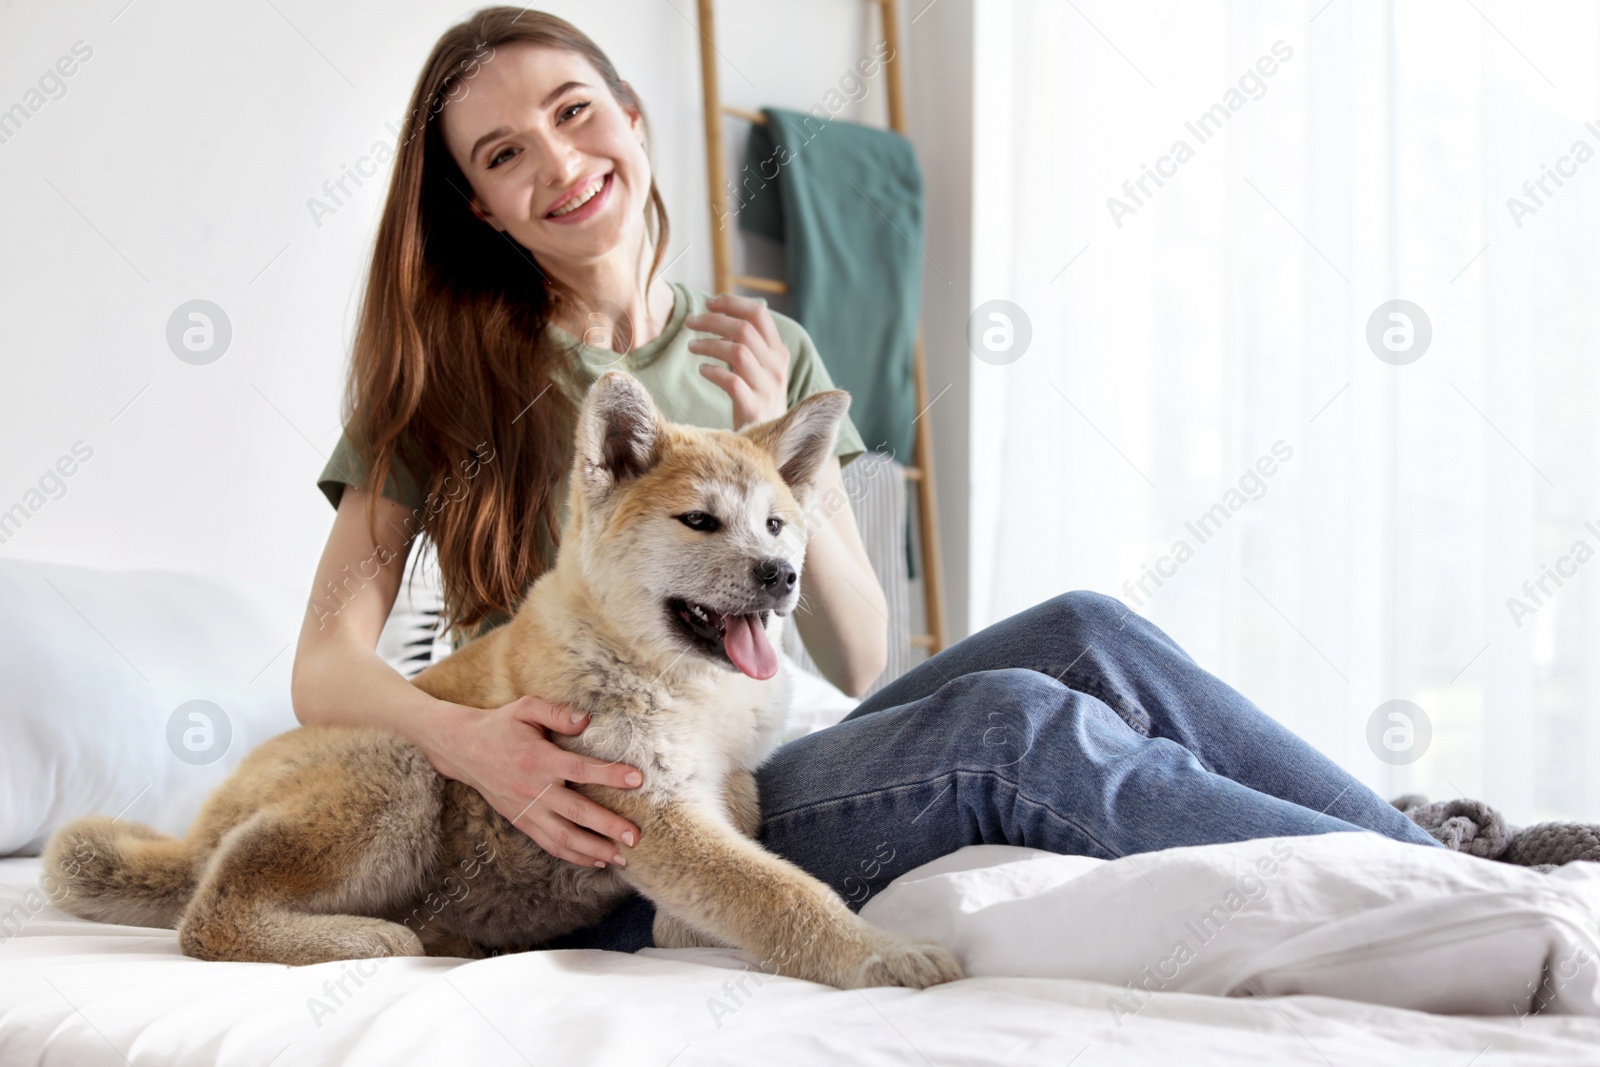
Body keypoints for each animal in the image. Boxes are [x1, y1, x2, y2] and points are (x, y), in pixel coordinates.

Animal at [40, 371, 960, 991]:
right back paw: (364, 939)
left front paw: (685, 920)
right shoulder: (647, 814)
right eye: (700, 520)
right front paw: (881, 952)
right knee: (208, 916)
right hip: (394, 767)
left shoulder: (718, 783)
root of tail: (196, 831)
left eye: (775, 523)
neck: (666, 674)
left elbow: (743, 822)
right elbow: (781, 892)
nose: (781, 575)